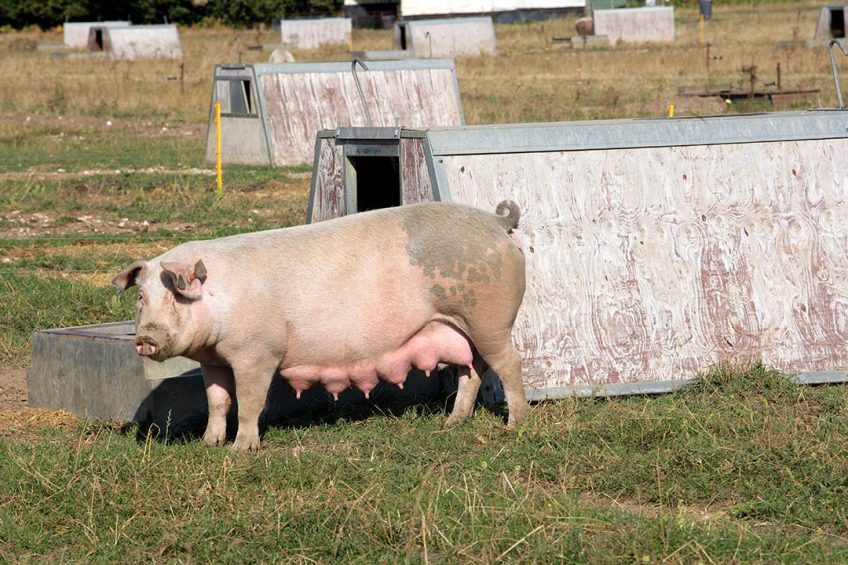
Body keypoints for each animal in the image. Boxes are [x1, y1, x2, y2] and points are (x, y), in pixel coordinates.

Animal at [110, 198, 528, 450]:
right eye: (142, 297)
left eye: (177, 296)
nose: (145, 338)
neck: (220, 299)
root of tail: (496, 221)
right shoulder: (214, 360)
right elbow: (217, 400)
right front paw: (208, 444)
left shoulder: (257, 353)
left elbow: (249, 402)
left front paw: (241, 449)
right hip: (463, 328)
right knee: (472, 371)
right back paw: (452, 423)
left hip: (490, 320)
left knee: (509, 363)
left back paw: (513, 426)